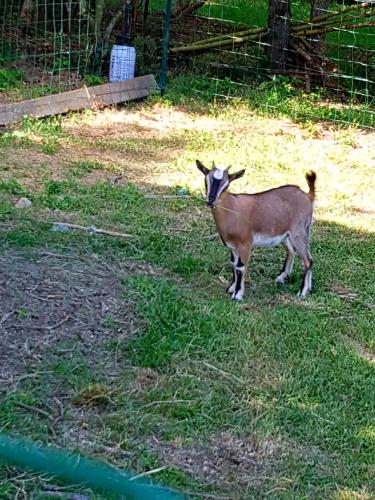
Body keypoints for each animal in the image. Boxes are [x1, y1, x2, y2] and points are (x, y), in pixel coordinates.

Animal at [197, 160, 318, 300]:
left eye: (226, 184)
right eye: (206, 180)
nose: (211, 200)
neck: (231, 208)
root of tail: (308, 196)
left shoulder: (245, 244)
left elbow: (240, 267)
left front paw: (237, 295)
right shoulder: (233, 246)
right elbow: (233, 264)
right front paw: (231, 288)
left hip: (298, 232)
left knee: (307, 261)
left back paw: (302, 292)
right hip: (287, 234)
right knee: (293, 252)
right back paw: (294, 283)